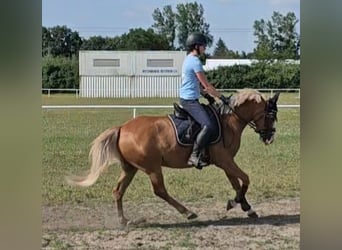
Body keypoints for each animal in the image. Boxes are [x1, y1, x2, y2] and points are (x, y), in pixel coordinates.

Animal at [65, 89, 280, 226]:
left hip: (130, 168)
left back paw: (125, 221)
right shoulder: (225, 161)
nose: (269, 137)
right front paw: (235, 204)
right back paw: (188, 212)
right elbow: (245, 179)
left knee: (118, 191)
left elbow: (236, 183)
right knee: (159, 190)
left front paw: (247, 208)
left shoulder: (226, 162)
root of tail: (123, 127)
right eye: (271, 116)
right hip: (152, 168)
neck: (229, 121)